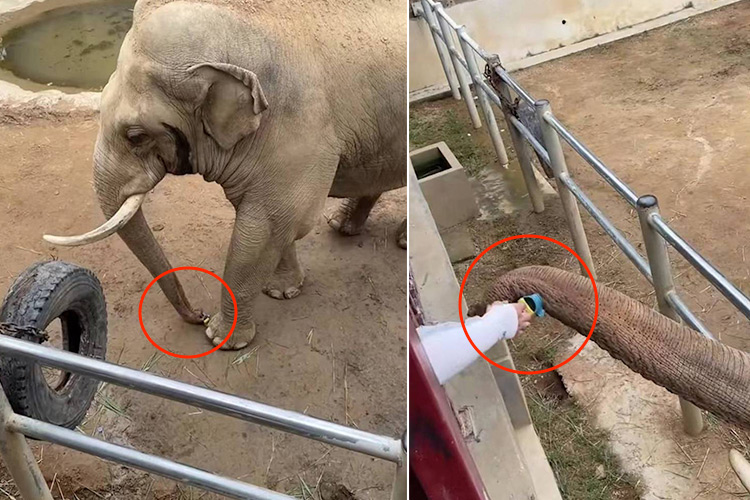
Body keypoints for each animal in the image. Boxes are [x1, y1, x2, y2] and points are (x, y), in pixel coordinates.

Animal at [44, 0, 408, 350]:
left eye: (135, 136)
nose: (198, 315)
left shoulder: (301, 127)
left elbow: (269, 223)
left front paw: (220, 339)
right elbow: (277, 222)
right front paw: (281, 292)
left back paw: (399, 240)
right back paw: (341, 225)